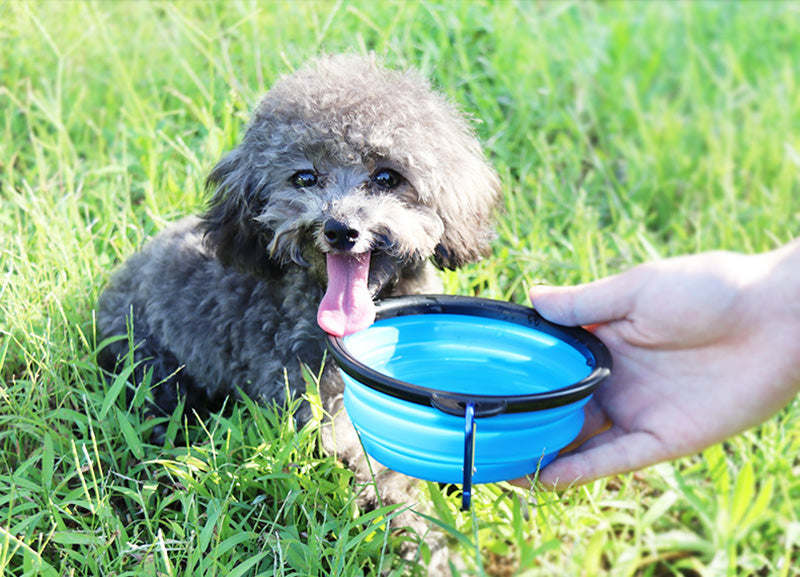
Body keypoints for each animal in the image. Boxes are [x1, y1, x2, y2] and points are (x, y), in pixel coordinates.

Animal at [97, 54, 500, 568]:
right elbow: (378, 473)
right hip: (151, 371)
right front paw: (429, 540)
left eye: (387, 177)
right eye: (305, 177)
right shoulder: (310, 402)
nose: (340, 229)